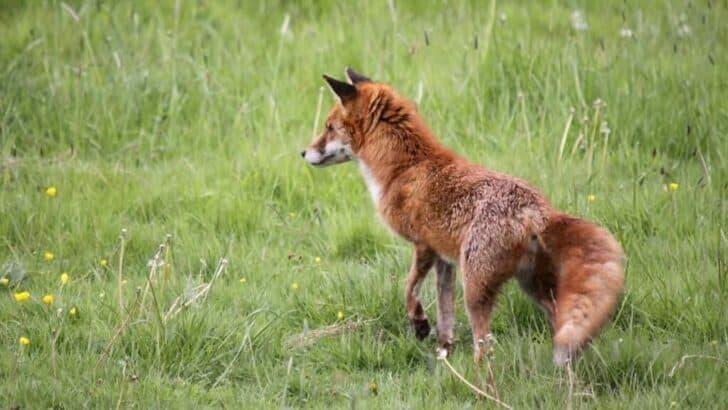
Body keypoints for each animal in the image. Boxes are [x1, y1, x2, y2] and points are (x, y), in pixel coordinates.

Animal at [301, 68, 624, 367]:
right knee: (566, 331)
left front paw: (419, 324)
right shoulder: (444, 259)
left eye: (329, 127)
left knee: (485, 344)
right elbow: (445, 313)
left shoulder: (423, 246)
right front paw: (444, 351)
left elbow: (409, 289)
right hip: (533, 285)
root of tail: (538, 208)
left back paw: (478, 380)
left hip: (476, 288)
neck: (403, 168)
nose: (303, 152)